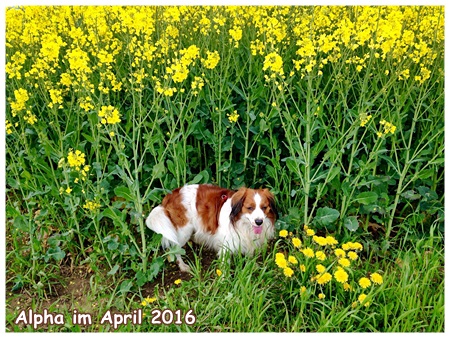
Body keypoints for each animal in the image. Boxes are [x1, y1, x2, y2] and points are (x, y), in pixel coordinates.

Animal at [146, 184, 276, 270]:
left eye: (264, 207)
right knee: (175, 247)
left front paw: (252, 267)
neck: (242, 223)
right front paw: (224, 280)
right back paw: (183, 266)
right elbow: (224, 264)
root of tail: (171, 194)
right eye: (250, 208)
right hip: (183, 231)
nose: (259, 222)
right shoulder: (226, 244)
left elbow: (250, 256)